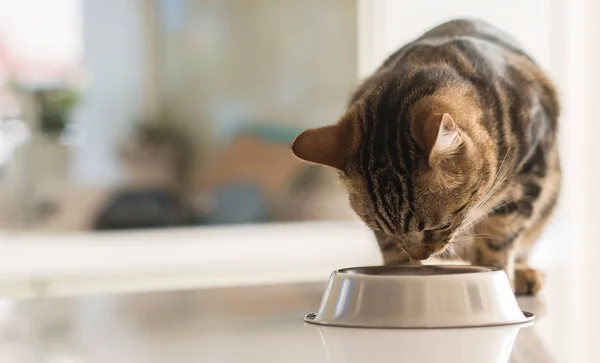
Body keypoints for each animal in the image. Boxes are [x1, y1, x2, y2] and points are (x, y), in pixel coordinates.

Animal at [292, 18, 560, 296]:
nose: (419, 254)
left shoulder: (528, 177)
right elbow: (392, 252)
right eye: (381, 229)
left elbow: (498, 242)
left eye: (438, 226)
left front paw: (499, 276)